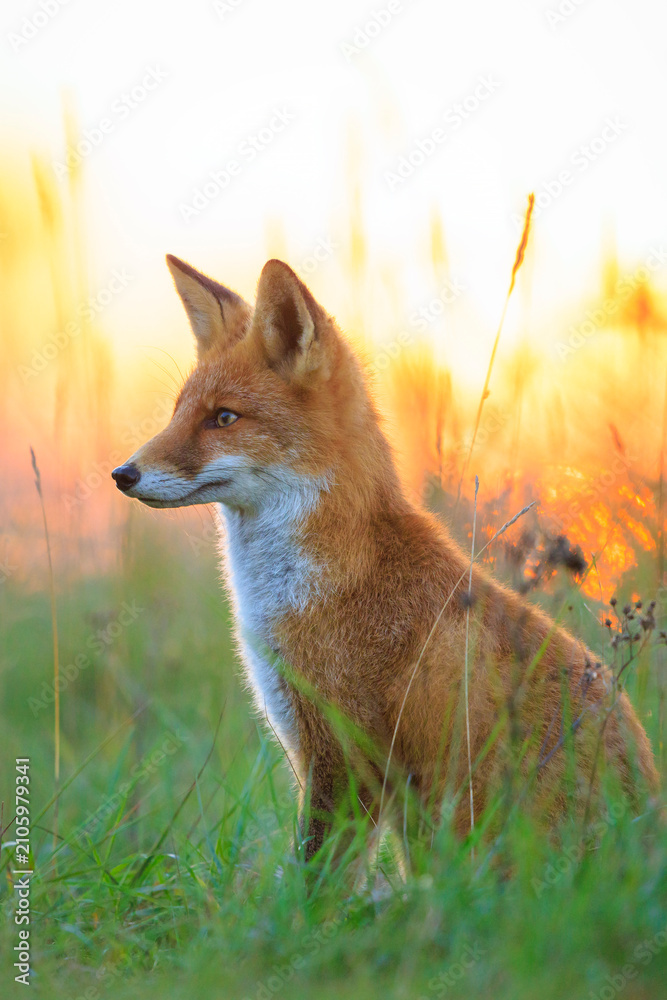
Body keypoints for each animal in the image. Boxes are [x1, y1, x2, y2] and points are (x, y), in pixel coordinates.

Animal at [112, 254, 659, 861]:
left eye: (223, 418)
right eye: (178, 412)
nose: (122, 474)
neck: (311, 589)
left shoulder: (344, 754)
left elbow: (315, 876)